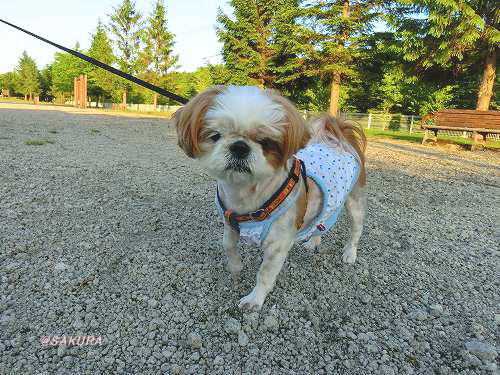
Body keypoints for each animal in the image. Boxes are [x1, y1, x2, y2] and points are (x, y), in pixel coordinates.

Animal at [174, 86, 366, 312]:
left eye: (266, 143)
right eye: (215, 136)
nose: (239, 146)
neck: (245, 195)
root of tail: (340, 139)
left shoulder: (277, 245)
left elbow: (265, 274)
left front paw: (255, 299)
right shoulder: (230, 223)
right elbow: (228, 245)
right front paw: (236, 267)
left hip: (355, 202)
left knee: (356, 231)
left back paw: (350, 254)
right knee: (322, 223)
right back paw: (313, 241)